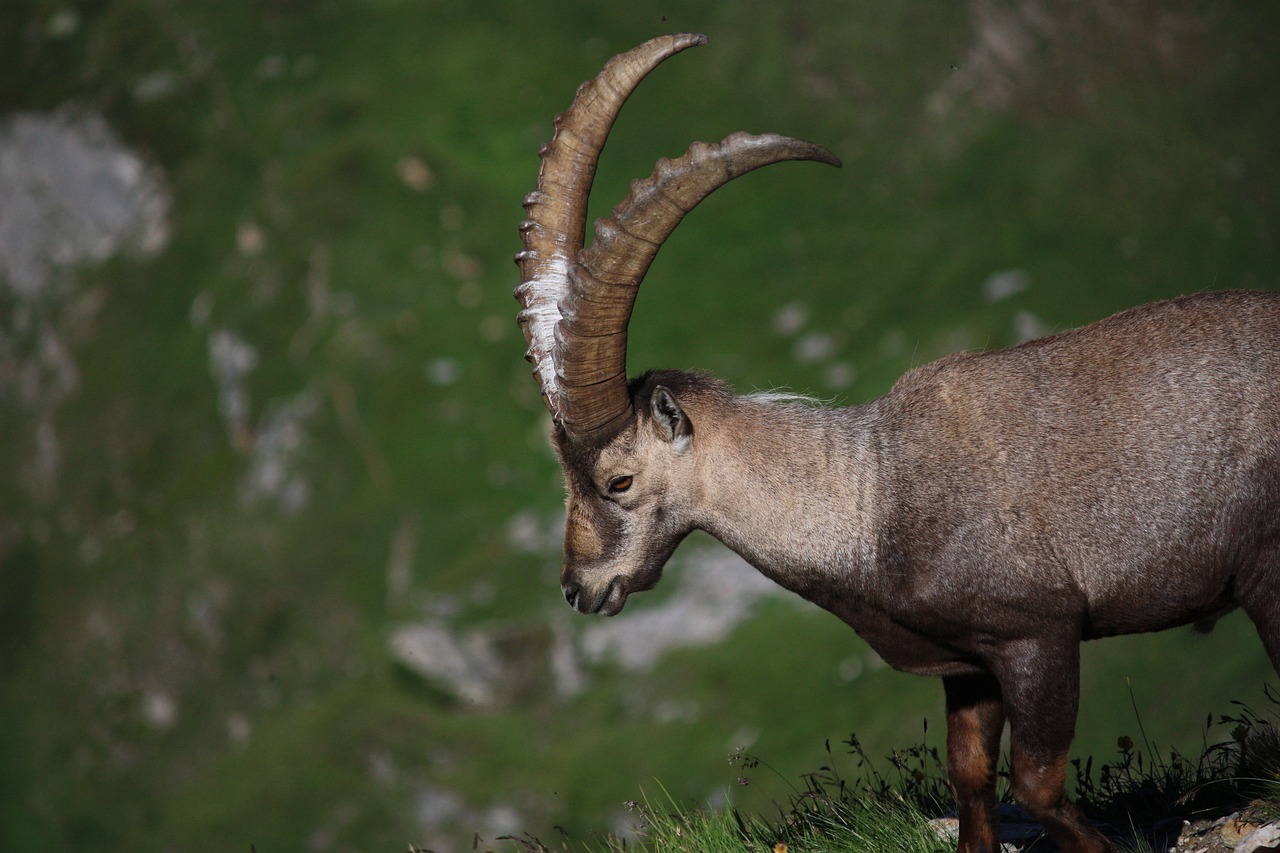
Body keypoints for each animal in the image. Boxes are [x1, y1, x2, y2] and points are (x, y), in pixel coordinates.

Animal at [514, 29, 1280, 845]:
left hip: (1265, 569)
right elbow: (970, 776)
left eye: (618, 479)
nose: (580, 587)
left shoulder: (1038, 634)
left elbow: (1037, 785)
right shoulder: (971, 665)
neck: (872, 496)